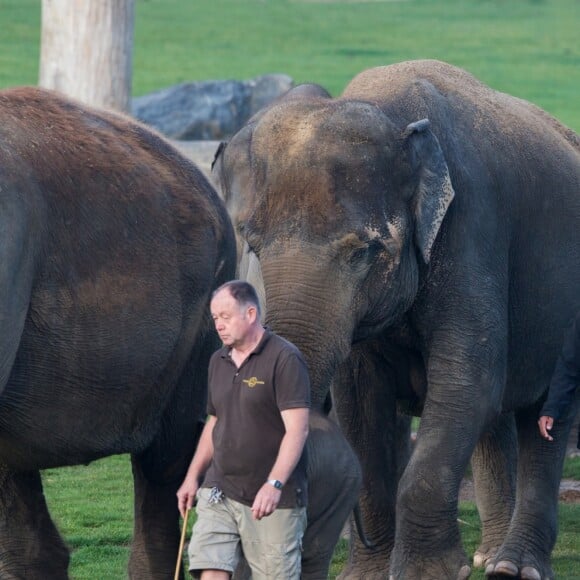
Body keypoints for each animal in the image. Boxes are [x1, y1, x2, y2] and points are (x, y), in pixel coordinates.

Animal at [212, 60, 580, 580]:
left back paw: (513, 566)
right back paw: (490, 556)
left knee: (544, 416)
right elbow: (360, 404)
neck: (389, 112)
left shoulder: (472, 226)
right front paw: (368, 574)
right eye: (254, 245)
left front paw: (432, 573)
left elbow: (466, 381)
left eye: (364, 251)